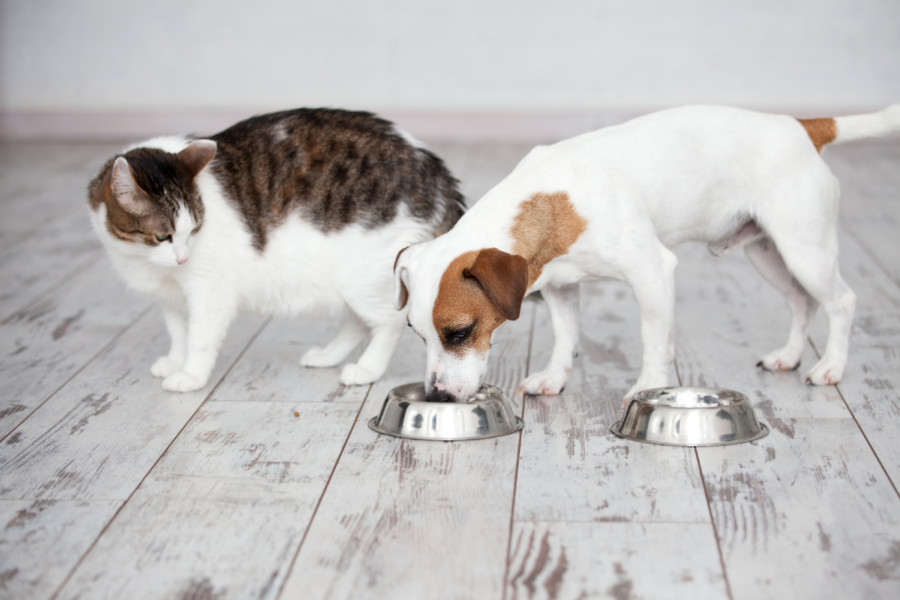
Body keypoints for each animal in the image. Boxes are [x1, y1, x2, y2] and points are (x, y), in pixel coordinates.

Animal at [394, 104, 900, 404]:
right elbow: (564, 337)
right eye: (416, 334)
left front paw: (648, 386)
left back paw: (831, 365)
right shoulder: (560, 286)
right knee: (801, 302)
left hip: (804, 251)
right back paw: (790, 356)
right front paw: (555, 376)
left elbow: (654, 340)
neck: (554, 202)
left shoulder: (652, 273)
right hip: (768, 255)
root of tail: (800, 126)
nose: (437, 397)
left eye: (460, 333)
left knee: (841, 301)